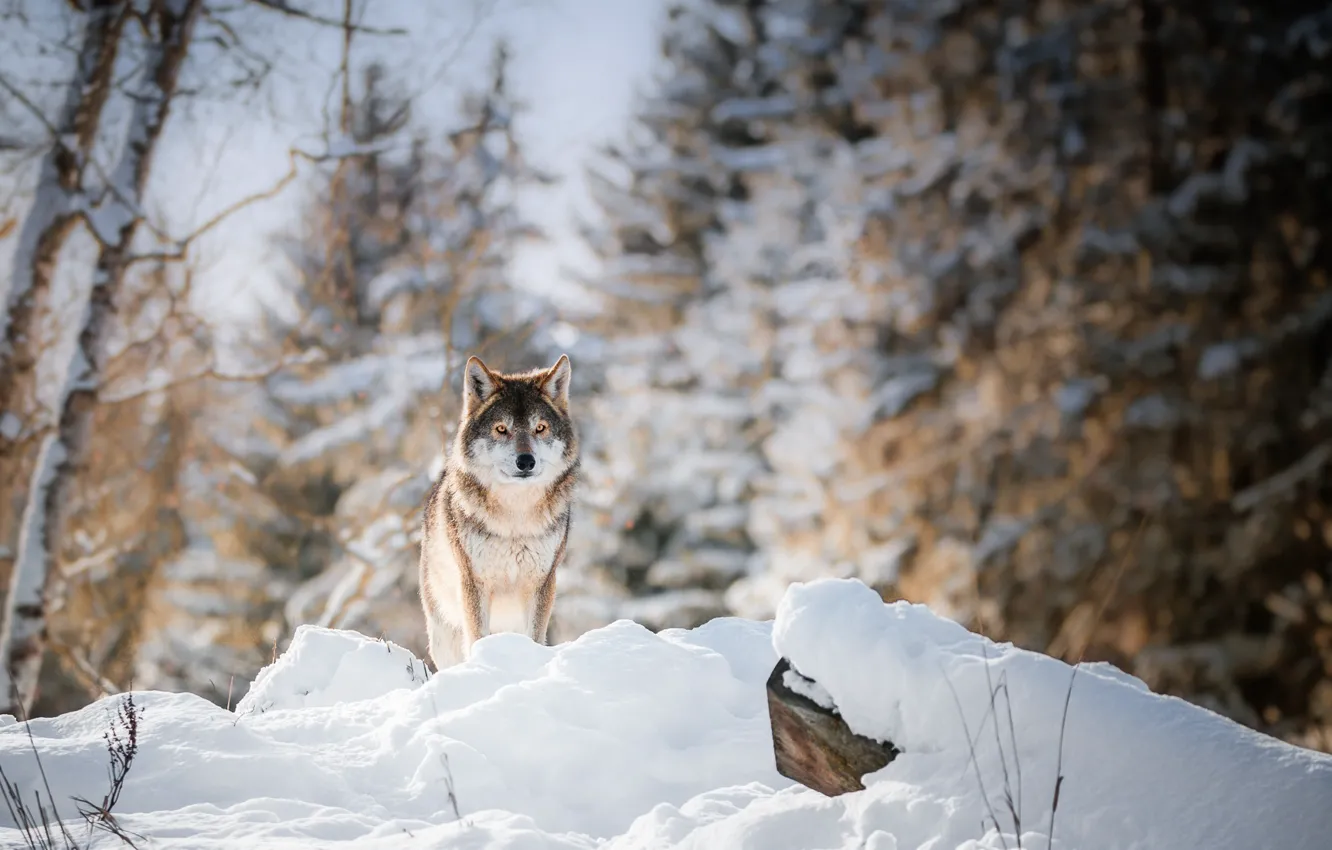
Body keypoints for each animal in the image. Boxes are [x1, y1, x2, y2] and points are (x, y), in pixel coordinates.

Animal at [420, 351, 578, 671]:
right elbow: (477, 637)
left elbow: (535, 637)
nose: (526, 461)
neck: (514, 519)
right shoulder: (474, 583)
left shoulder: (542, 583)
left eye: (540, 428)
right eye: (501, 429)